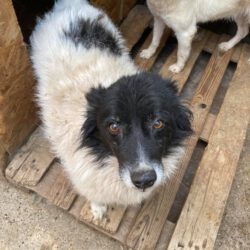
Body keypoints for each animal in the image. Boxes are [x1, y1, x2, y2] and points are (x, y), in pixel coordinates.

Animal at [29, 0, 193, 219]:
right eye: (113, 126)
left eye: (158, 123)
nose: (144, 180)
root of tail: (67, 4)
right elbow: (95, 196)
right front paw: (98, 209)